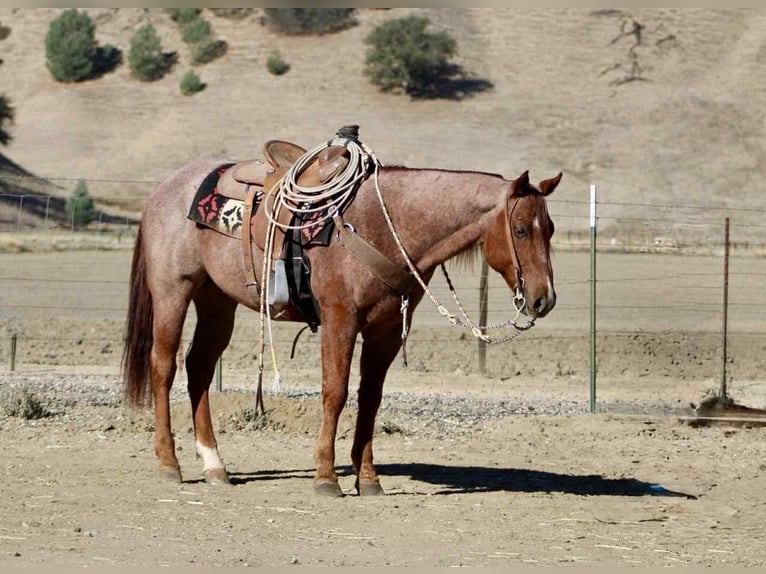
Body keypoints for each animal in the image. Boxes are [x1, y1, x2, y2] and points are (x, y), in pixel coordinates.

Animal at [121, 139, 562, 497]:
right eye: (520, 230)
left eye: (551, 229)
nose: (544, 299)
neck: (384, 223)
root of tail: (162, 189)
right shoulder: (340, 320)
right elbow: (335, 393)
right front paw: (326, 477)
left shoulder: (386, 331)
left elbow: (371, 398)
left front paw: (367, 478)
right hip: (174, 291)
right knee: (164, 366)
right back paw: (169, 463)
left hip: (216, 301)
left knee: (199, 367)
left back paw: (215, 465)